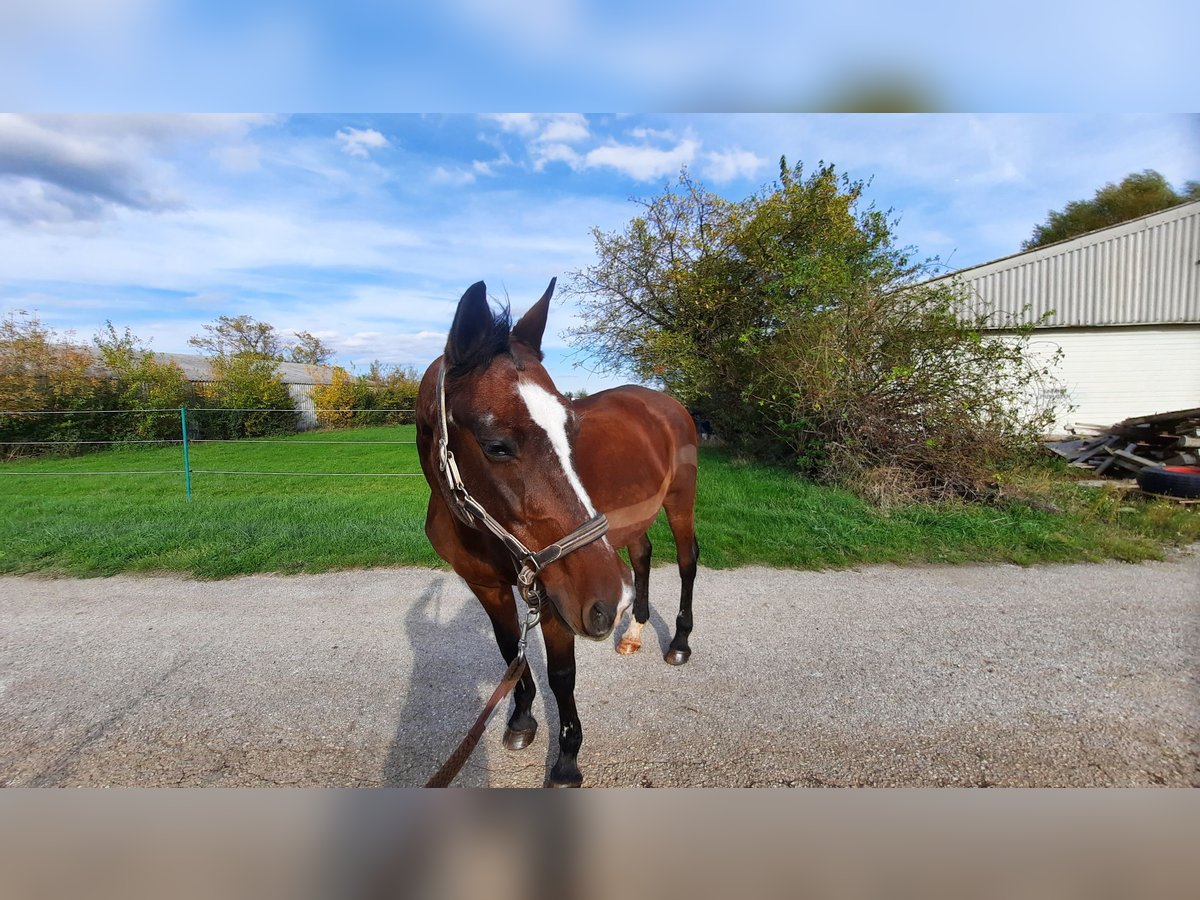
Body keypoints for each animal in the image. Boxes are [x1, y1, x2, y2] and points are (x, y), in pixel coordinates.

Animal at [415, 278, 700, 787]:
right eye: (496, 445)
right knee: (642, 557)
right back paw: (634, 631)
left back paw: (679, 644)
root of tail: (664, 401)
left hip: (678, 502)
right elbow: (510, 650)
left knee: (687, 562)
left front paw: (567, 760)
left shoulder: (554, 596)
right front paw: (521, 718)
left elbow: (562, 674)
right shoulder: (488, 586)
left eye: (573, 429)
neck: (477, 528)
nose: (607, 603)